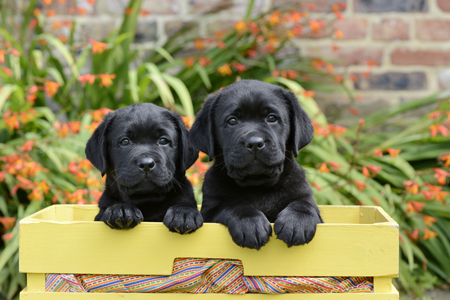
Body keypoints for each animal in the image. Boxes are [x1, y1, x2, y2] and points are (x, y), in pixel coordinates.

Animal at [85, 103, 204, 234]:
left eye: (163, 140)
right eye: (125, 141)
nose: (146, 164)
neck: (146, 199)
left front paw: (183, 213)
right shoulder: (100, 214)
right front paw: (121, 209)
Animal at [188, 79, 322, 248]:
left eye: (272, 118)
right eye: (232, 120)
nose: (254, 143)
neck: (258, 186)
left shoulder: (305, 196)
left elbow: (303, 205)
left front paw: (296, 223)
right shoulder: (210, 210)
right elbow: (233, 204)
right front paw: (250, 224)